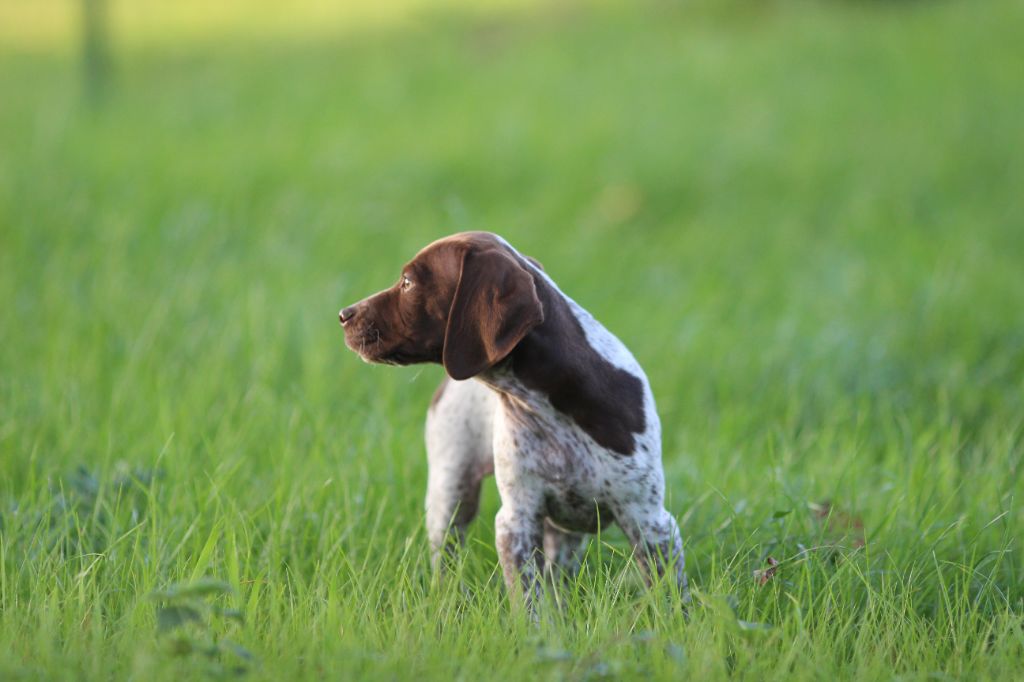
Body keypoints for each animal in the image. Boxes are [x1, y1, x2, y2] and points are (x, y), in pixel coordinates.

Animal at [342, 231, 688, 602]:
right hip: (450, 489)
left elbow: (670, 600)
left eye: (407, 282)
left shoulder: (650, 521)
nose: (343, 314)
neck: (548, 404)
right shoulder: (516, 521)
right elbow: (529, 602)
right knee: (446, 559)